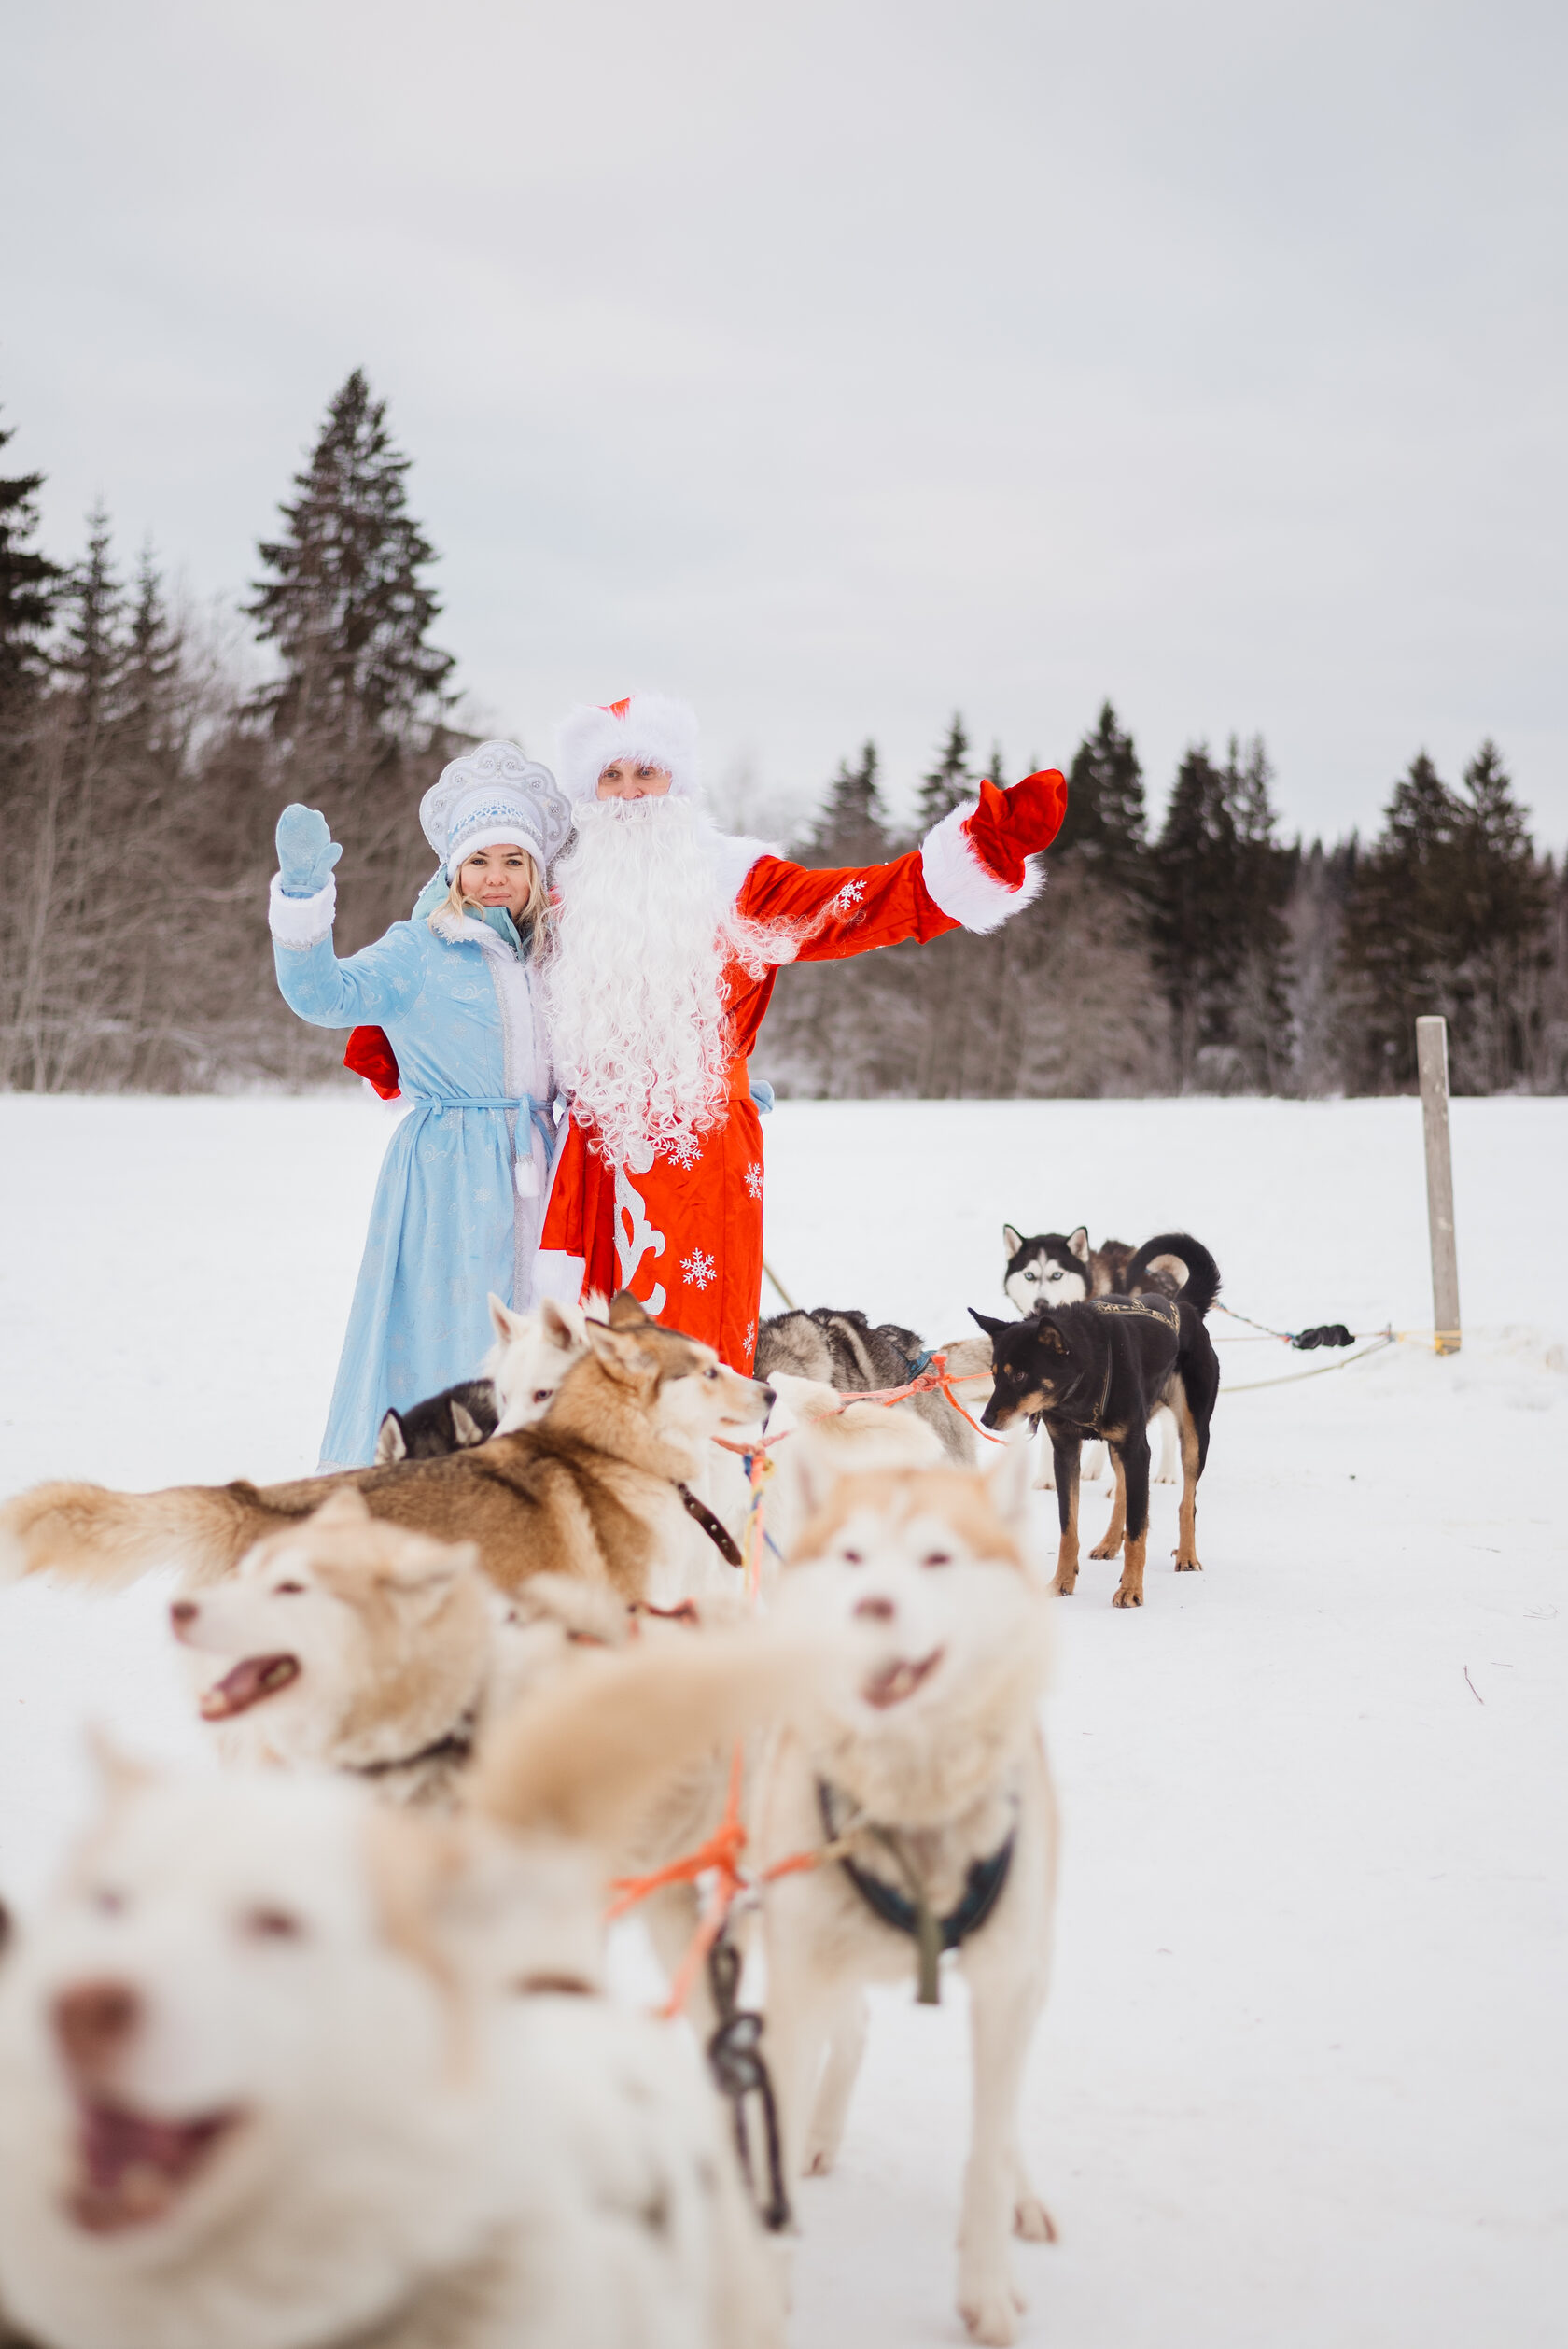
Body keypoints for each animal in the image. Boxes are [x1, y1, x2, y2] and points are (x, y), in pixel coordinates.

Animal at [755, 1446, 1060, 2349]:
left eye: (936, 1559)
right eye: (852, 1556)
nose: (871, 1605)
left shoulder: (1007, 1984)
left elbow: (987, 2148)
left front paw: (987, 2287)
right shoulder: (796, 1985)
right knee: (849, 2030)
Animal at [972, 1240, 1220, 1606]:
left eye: (1019, 1375)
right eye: (993, 1374)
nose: (986, 1419)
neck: (1088, 1376)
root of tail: (1183, 1305)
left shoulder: (1138, 1450)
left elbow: (1138, 1528)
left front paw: (1130, 1589)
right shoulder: (1066, 1452)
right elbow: (1069, 1527)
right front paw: (1061, 1581)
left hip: (1191, 1436)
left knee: (1186, 1501)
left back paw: (1187, 1555)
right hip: (1119, 1447)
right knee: (1123, 1493)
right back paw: (1109, 1542)